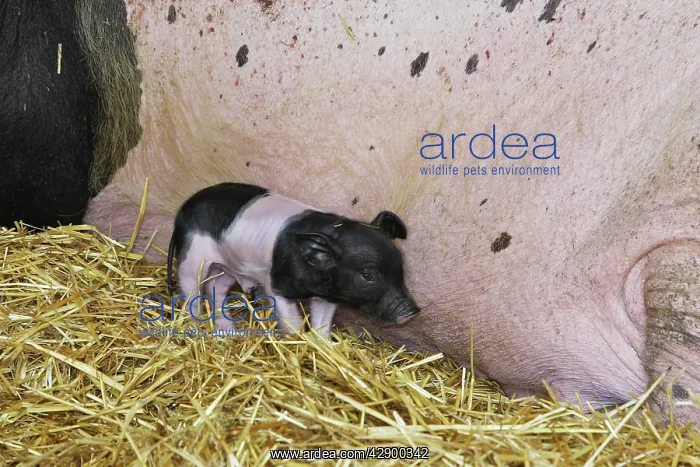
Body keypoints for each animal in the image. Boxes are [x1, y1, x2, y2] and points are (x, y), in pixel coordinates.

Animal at [166, 182, 420, 338]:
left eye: (400, 267)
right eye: (368, 275)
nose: (412, 311)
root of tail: (183, 209)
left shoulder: (326, 296)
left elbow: (322, 325)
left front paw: (323, 346)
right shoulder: (278, 285)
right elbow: (293, 323)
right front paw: (298, 340)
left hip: (229, 267)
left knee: (216, 288)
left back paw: (229, 329)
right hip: (192, 255)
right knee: (191, 288)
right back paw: (194, 321)